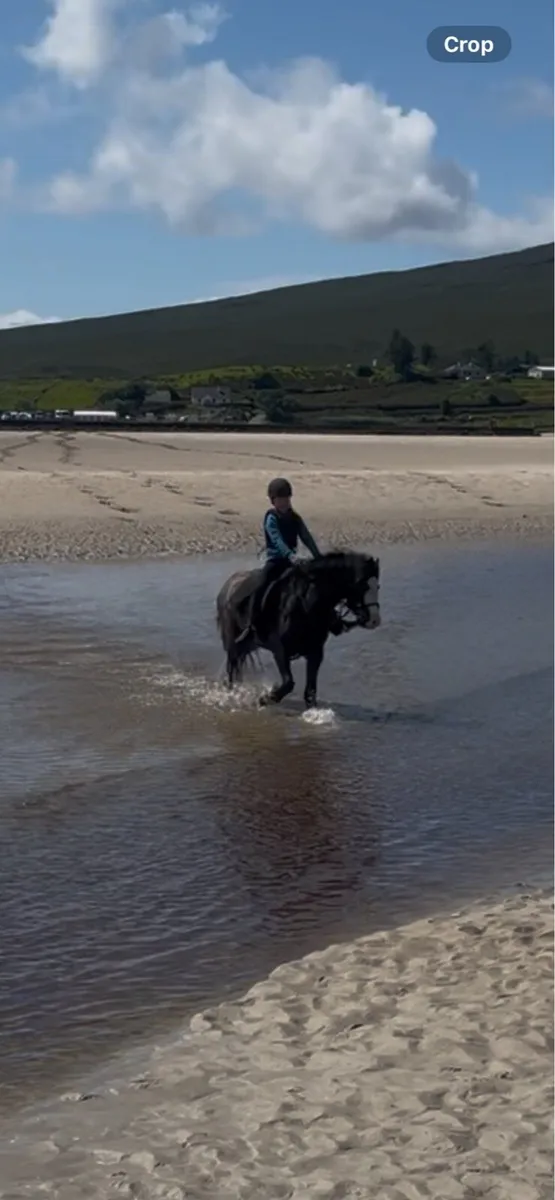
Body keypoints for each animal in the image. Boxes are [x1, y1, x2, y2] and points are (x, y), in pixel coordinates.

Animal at [216, 551, 381, 709]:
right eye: (362, 586)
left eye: (377, 586)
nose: (374, 620)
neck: (306, 605)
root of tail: (228, 585)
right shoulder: (279, 650)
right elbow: (289, 683)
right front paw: (265, 699)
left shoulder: (316, 652)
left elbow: (310, 690)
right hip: (233, 643)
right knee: (232, 668)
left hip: (248, 644)